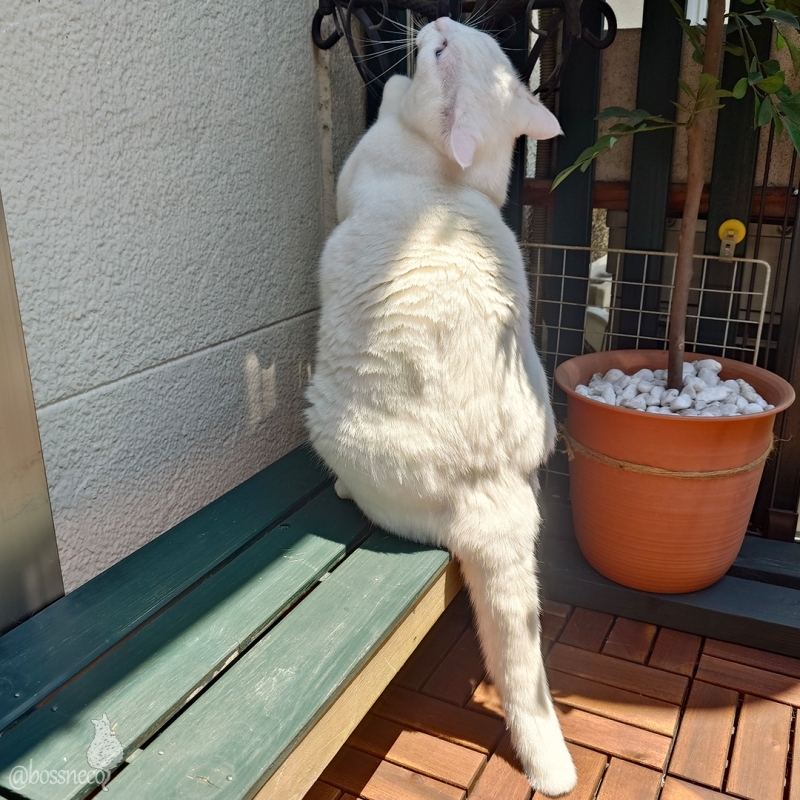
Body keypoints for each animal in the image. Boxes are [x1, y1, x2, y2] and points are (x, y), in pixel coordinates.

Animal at [305, 16, 576, 795]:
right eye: (462, 39)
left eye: (444, 52)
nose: (442, 21)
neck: (450, 184)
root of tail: (497, 489)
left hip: (324, 414)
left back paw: (343, 489)